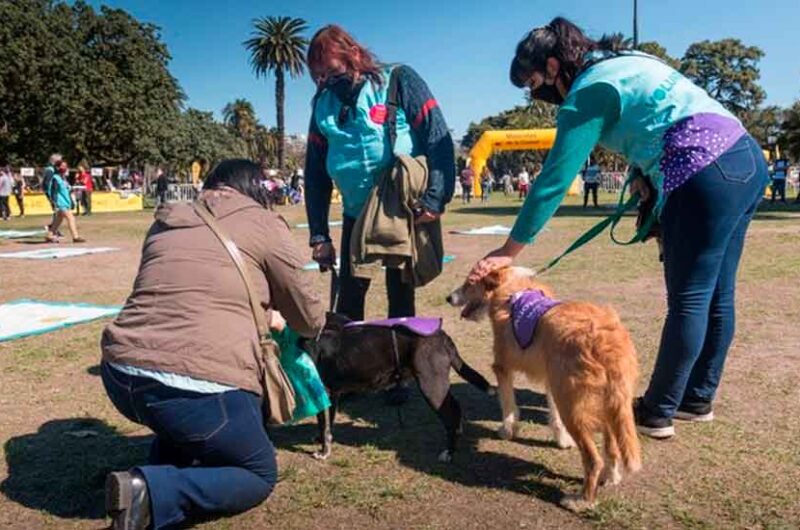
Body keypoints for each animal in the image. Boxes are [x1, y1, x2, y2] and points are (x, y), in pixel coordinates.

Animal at [306, 312, 494, 460]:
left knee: (451, 413)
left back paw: (449, 452)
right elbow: (328, 423)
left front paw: (323, 452)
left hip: (431, 384)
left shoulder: (322, 392)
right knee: (456, 407)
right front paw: (322, 440)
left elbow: (323, 425)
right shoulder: (332, 394)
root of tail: (442, 336)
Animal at [446, 266, 640, 510]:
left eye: (469, 282)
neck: (512, 288)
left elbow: (508, 407)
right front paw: (562, 440)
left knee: (592, 459)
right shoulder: (551, 381)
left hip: (573, 408)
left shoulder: (502, 369)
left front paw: (507, 431)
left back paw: (582, 500)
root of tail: (606, 341)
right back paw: (610, 477)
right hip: (603, 403)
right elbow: (553, 417)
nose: (448, 298)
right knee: (612, 447)